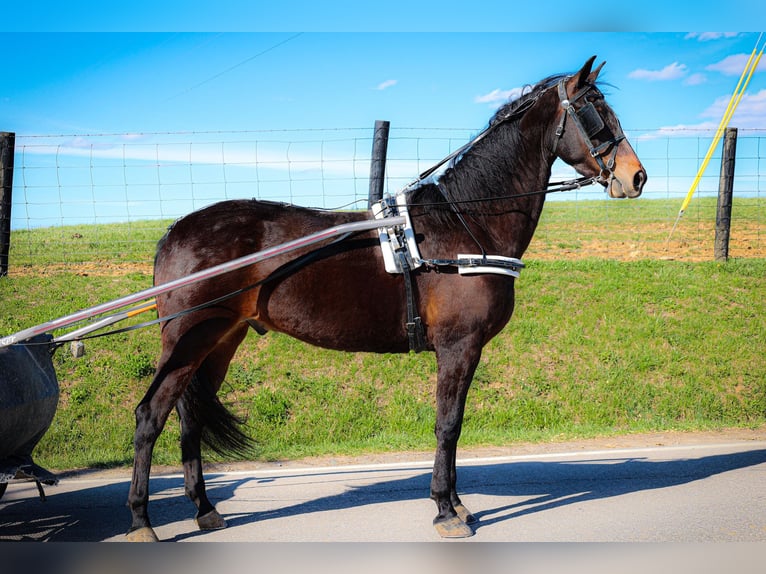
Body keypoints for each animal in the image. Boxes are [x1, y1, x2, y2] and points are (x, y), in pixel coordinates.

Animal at [127, 56, 648, 544]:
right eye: (594, 111)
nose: (637, 176)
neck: (464, 223)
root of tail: (174, 230)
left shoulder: (462, 351)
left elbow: (454, 426)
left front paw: (458, 504)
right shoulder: (459, 347)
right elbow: (448, 425)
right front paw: (444, 509)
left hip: (219, 341)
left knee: (190, 417)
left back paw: (204, 509)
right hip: (188, 342)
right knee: (150, 415)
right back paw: (141, 520)